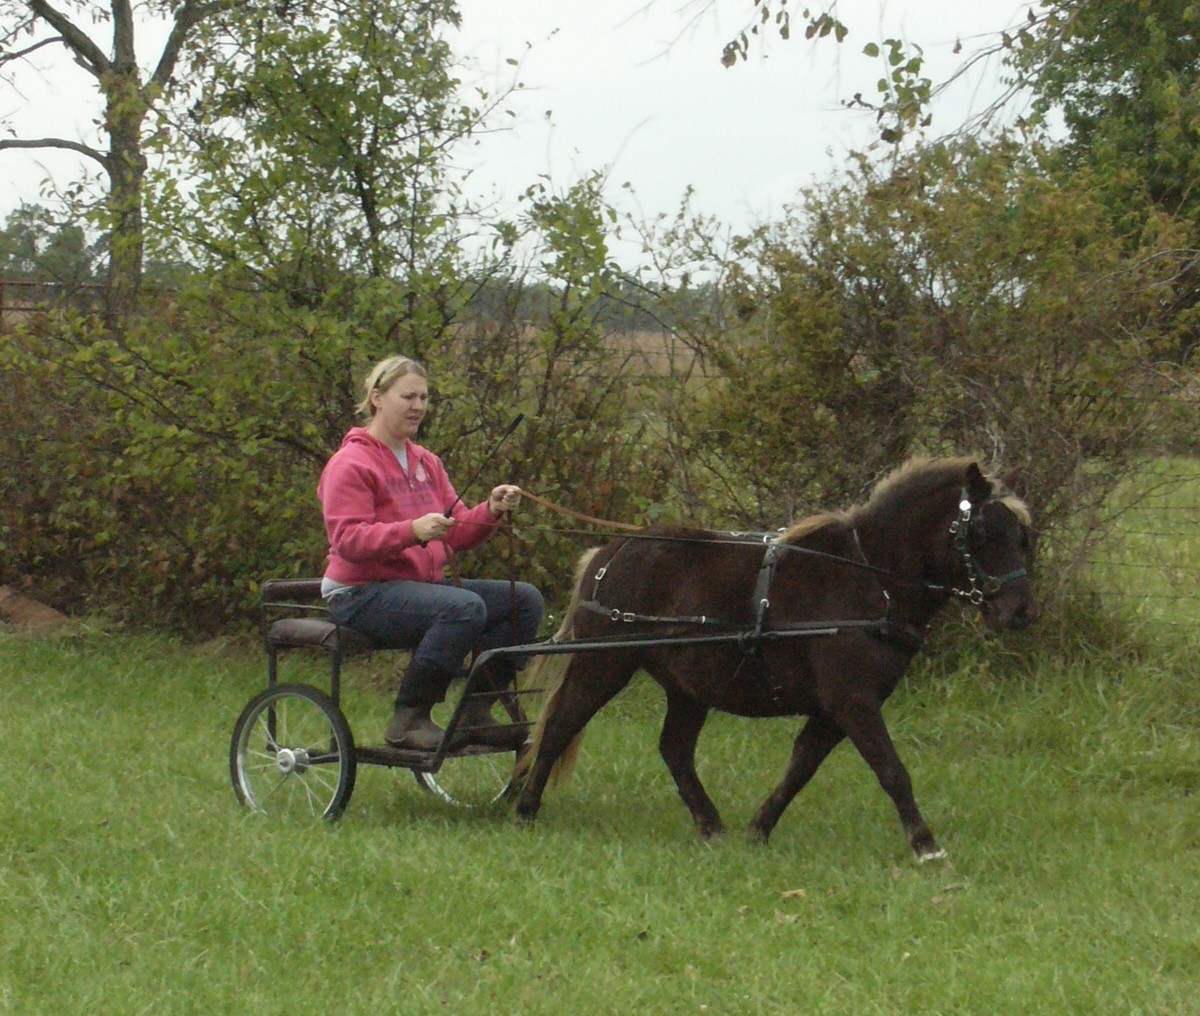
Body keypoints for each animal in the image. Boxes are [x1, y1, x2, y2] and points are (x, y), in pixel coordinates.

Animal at [511, 456, 1037, 861]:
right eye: (982, 532)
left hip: (687, 685)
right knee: (559, 726)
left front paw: (758, 829)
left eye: (1023, 535)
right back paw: (524, 810)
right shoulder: (853, 701)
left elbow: (800, 768)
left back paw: (711, 825)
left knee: (674, 749)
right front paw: (926, 845)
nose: (1020, 612)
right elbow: (891, 770)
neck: (871, 577)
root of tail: (612, 550)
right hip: (604, 664)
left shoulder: (833, 709)